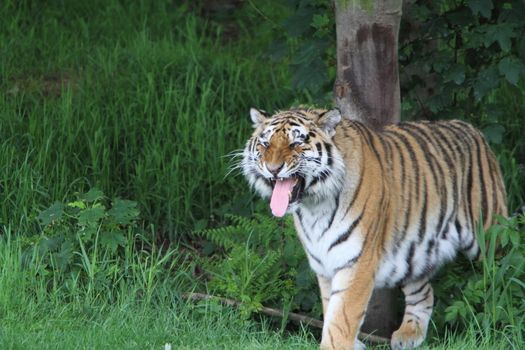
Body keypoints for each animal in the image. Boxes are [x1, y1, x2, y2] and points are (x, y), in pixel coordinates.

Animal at [241, 107, 508, 350]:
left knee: (504, 276)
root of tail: (470, 127)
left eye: (296, 142)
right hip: (414, 250)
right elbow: (330, 310)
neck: (313, 207)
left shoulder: (356, 262)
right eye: (265, 143)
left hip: (490, 236)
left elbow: (342, 318)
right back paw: (409, 334)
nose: (273, 168)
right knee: (424, 292)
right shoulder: (324, 264)